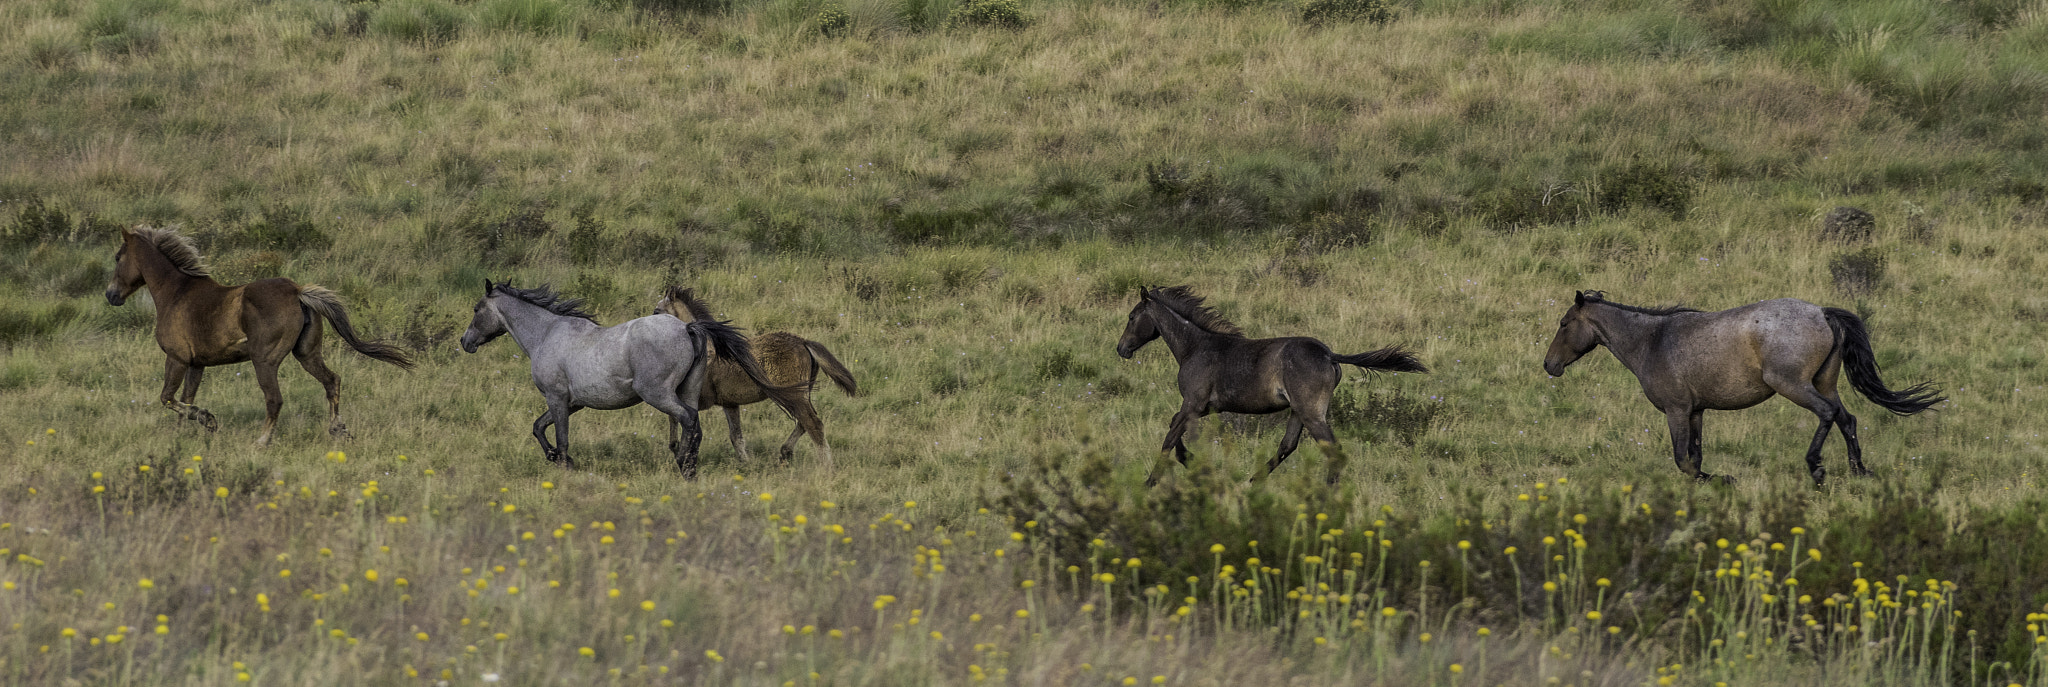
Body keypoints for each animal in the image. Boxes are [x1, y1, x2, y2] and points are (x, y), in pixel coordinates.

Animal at [105, 225, 413, 447]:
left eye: (118, 257)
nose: (111, 295)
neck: (177, 293)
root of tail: (298, 291)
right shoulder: (197, 364)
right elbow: (186, 399)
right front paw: (184, 434)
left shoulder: (177, 358)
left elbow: (168, 398)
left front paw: (208, 420)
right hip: (307, 354)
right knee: (332, 381)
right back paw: (338, 430)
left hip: (264, 361)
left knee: (275, 399)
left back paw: (262, 441)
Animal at [464, 278, 806, 479]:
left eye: (477, 308)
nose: (465, 342)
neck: (547, 334)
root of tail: (687, 328)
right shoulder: (572, 402)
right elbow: (538, 427)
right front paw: (556, 459)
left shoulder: (557, 398)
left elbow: (560, 437)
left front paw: (563, 464)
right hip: (687, 391)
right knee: (694, 423)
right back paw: (689, 465)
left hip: (658, 394)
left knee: (688, 420)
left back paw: (685, 466)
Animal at [659, 287, 860, 473]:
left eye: (657, 311)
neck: (706, 350)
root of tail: (804, 342)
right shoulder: (729, 403)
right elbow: (736, 436)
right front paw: (746, 464)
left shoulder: (697, 399)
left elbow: (676, 416)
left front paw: (677, 449)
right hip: (800, 394)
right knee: (804, 422)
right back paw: (785, 453)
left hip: (794, 395)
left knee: (813, 424)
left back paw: (826, 466)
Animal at [1122, 287, 1425, 488]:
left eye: (1131, 317)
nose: (1121, 349)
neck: (1195, 348)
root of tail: (1329, 355)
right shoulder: (1205, 406)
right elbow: (1174, 426)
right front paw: (1191, 461)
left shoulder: (1193, 403)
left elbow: (1170, 435)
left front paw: (1151, 481)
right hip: (1298, 411)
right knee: (1288, 445)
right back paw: (1253, 480)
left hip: (1311, 413)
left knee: (1332, 449)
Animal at [1540, 293, 1941, 488]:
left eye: (1564, 324)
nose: (1549, 365)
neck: (1653, 341)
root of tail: (1822, 313)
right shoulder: (1696, 411)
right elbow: (1695, 457)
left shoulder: (1676, 411)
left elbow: (1683, 461)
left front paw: (1723, 480)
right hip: (1825, 382)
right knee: (1847, 418)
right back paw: (1860, 470)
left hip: (1793, 385)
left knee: (1828, 415)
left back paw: (1816, 469)